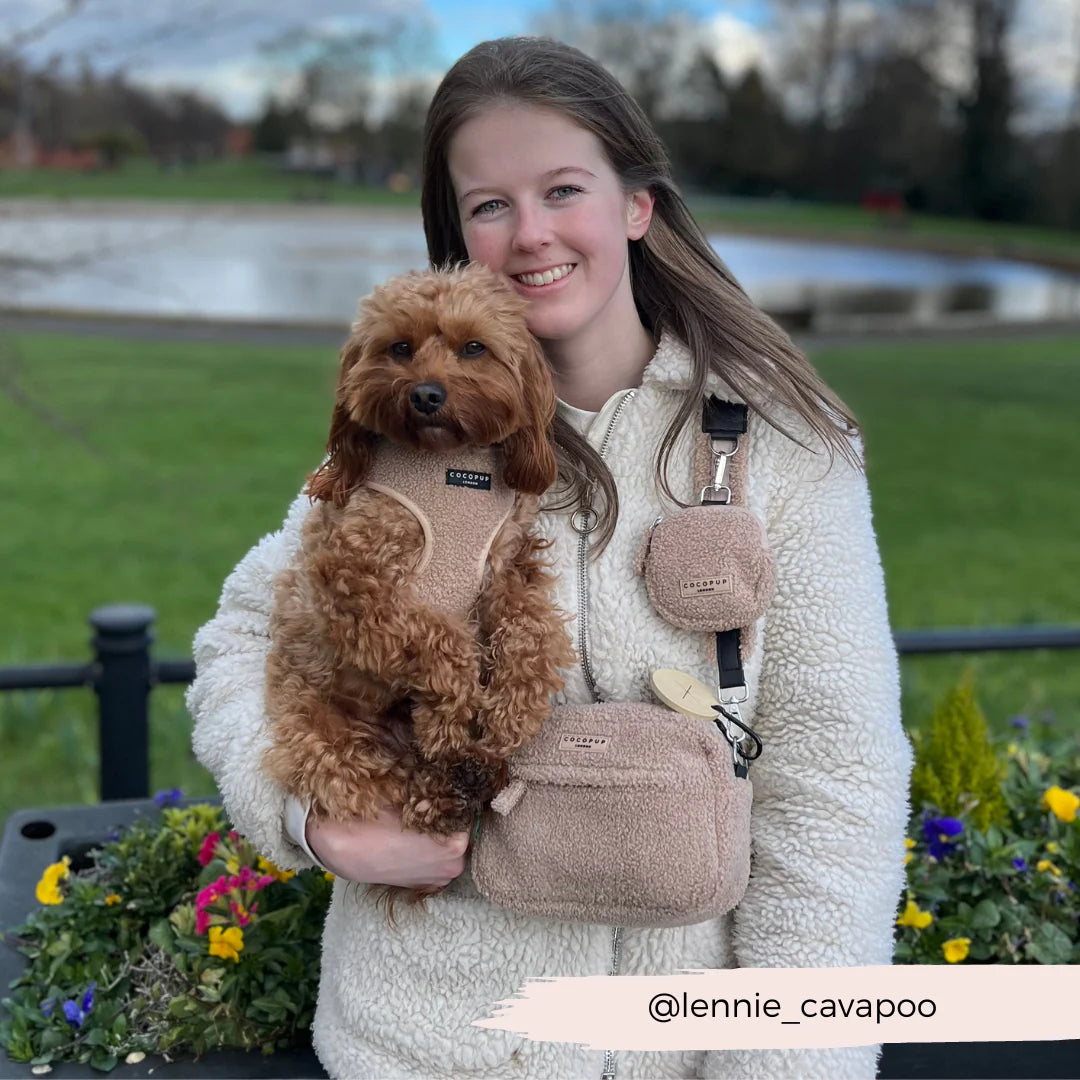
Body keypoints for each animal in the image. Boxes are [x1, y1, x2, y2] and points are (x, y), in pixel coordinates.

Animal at [263, 261, 574, 911]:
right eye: (399, 348)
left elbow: (530, 631)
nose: (427, 394)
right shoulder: (354, 581)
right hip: (326, 735)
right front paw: (450, 716)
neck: (450, 470)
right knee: (374, 778)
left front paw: (511, 710)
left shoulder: (505, 565)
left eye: (473, 347)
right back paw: (450, 782)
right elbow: (443, 641)